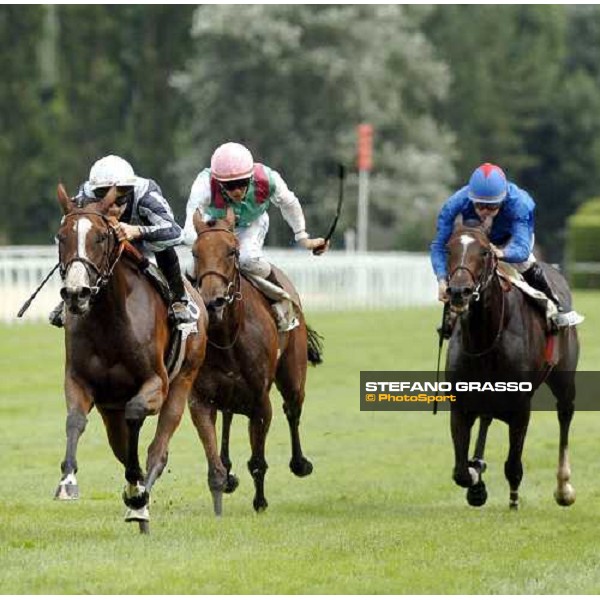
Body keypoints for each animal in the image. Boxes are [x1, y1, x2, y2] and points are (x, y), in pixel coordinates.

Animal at [54, 185, 209, 532]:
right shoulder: (78, 381)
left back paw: (141, 503)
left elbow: (136, 415)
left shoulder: (156, 384)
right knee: (121, 446)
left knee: (157, 451)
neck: (111, 322)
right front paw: (68, 482)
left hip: (183, 382)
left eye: (101, 237)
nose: (76, 293)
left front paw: (137, 496)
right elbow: (74, 420)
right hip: (109, 410)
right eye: (61, 236)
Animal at [188, 209, 322, 512]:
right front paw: (223, 479)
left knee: (292, 409)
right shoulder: (200, 400)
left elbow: (258, 461)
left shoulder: (261, 401)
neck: (227, 338)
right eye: (195, 252)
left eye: (232, 252)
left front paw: (260, 502)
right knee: (227, 416)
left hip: (293, 373)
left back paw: (300, 464)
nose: (212, 301)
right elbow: (212, 455)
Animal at [446, 224, 580, 506]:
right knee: (486, 418)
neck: (486, 338)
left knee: (565, 414)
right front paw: (476, 478)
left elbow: (513, 465)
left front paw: (513, 499)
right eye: (448, 249)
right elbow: (461, 471)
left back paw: (564, 488)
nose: (459, 292)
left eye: (484, 252)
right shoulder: (461, 404)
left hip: (564, 379)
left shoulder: (520, 407)